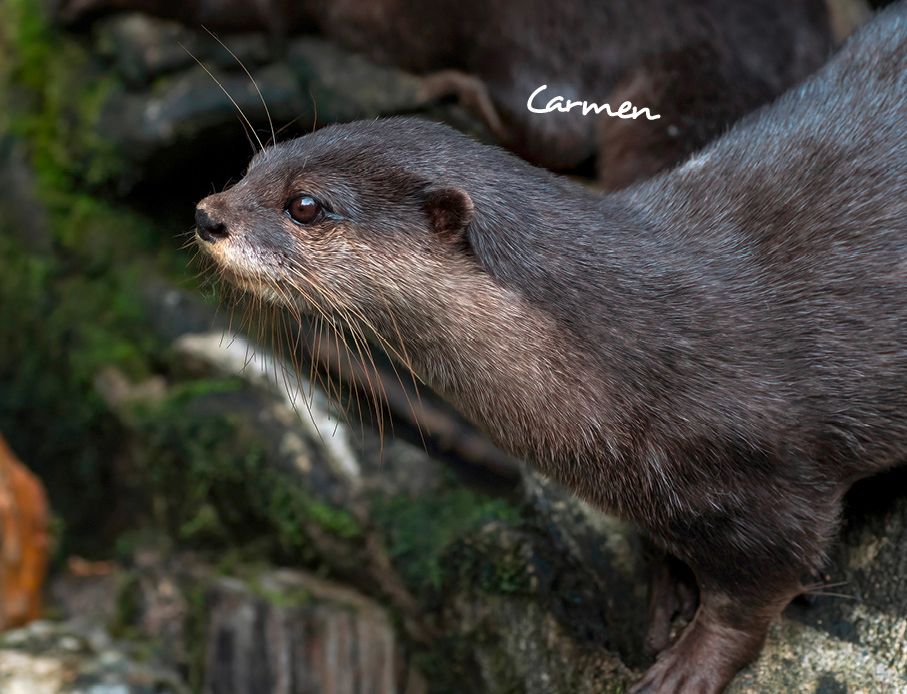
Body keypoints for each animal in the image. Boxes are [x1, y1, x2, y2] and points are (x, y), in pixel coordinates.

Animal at [193, 5, 906, 692]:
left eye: (306, 205)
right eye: (253, 165)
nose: (206, 215)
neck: (639, 341)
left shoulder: (784, 487)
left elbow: (758, 592)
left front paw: (689, 665)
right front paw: (666, 588)